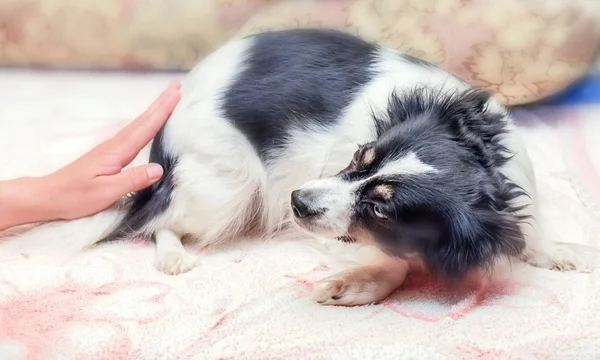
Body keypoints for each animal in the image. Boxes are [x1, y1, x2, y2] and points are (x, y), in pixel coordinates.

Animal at [5, 28, 596, 306]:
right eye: (358, 156)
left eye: (384, 210)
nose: (296, 202)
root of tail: (163, 144)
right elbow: (391, 262)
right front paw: (357, 284)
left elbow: (533, 229)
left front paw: (559, 250)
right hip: (227, 186)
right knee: (160, 224)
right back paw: (172, 255)